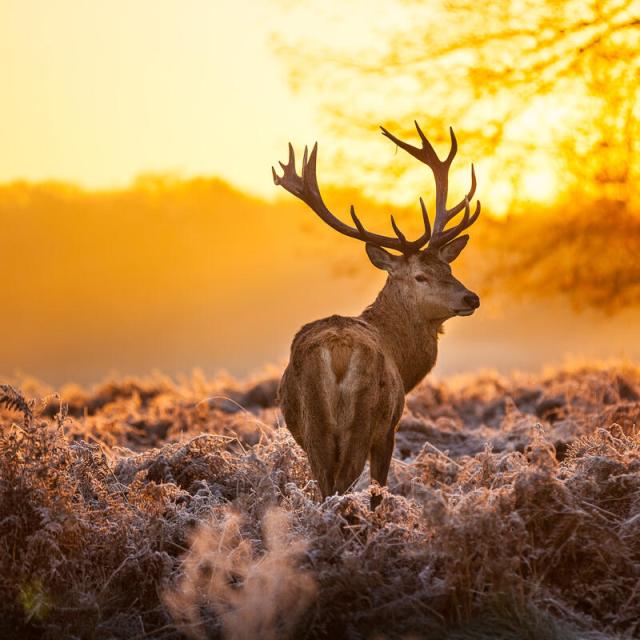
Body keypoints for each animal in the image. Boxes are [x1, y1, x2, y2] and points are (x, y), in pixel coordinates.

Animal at [272, 122, 480, 508]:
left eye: (448, 267)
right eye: (420, 276)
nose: (471, 297)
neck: (403, 359)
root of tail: (337, 352)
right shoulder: (389, 428)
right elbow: (378, 491)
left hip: (313, 426)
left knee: (325, 486)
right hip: (364, 419)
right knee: (342, 486)